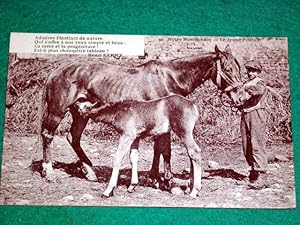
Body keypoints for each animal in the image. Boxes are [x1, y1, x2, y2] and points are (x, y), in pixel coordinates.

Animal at [39, 44, 245, 187]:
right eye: (227, 69)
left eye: (239, 68)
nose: (241, 97)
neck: (169, 78)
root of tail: (56, 71)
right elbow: (164, 150)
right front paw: (165, 180)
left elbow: (159, 149)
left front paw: (157, 178)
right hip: (58, 111)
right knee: (48, 135)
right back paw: (49, 172)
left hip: (81, 113)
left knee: (73, 137)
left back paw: (89, 172)